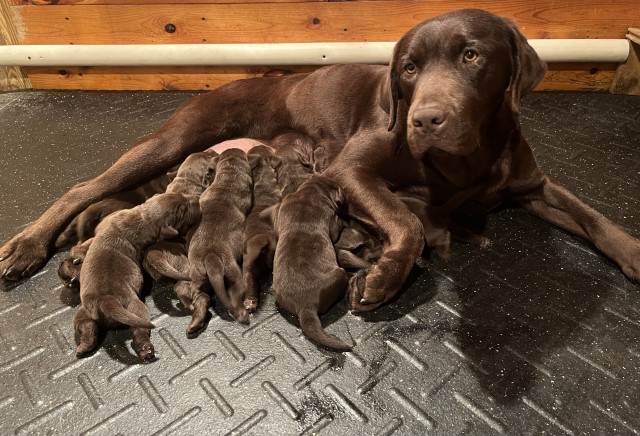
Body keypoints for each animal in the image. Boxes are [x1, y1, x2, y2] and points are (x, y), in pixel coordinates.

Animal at [74, 192, 200, 360]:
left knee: (86, 327)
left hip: (84, 313)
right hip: (135, 307)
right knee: (138, 330)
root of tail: (105, 300)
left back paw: (84, 346)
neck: (141, 217)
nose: (197, 199)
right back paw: (146, 349)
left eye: (181, 196)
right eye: (184, 210)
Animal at [188, 147, 252, 328]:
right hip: (233, 273)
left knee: (200, 297)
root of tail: (211, 256)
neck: (228, 178)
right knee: (235, 295)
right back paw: (242, 315)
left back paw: (196, 322)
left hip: (197, 276)